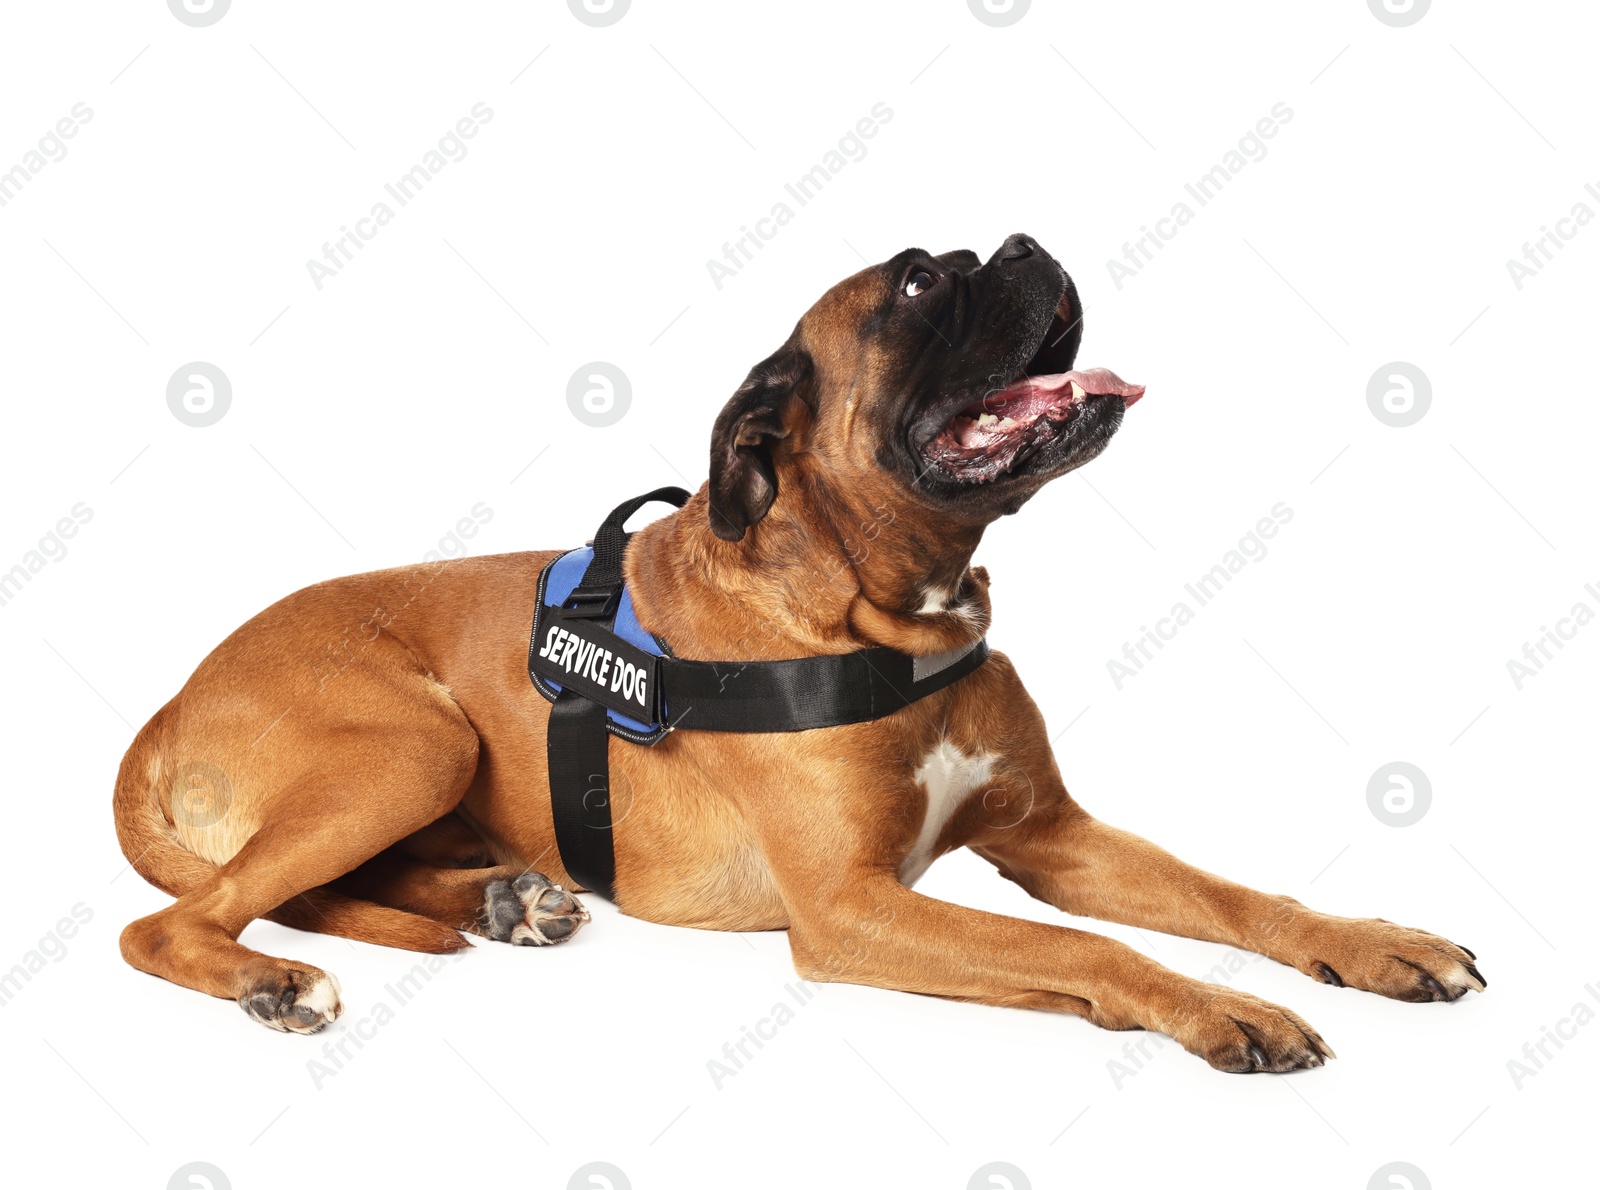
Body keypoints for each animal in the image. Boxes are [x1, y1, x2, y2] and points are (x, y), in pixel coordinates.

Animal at [116, 231, 1484, 1068]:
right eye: (921, 284)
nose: (1024, 242)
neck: (881, 606)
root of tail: (167, 704)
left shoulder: (1053, 834)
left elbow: (1229, 892)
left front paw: (1373, 940)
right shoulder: (850, 909)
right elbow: (1086, 947)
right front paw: (1219, 1004)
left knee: (318, 887)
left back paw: (504, 899)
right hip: (413, 740)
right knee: (180, 923)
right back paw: (275, 980)